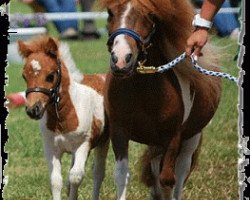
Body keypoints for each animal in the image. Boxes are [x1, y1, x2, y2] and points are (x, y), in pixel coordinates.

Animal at [18, 36, 110, 200]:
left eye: (50, 76)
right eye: (24, 76)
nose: (33, 110)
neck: (63, 117)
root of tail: (102, 77)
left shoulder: (83, 144)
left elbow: (75, 177)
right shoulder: (51, 148)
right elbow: (56, 181)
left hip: (103, 142)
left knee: (98, 173)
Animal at [100, 0, 222, 199]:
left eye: (150, 15)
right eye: (110, 12)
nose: (121, 59)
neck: (142, 91)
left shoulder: (172, 137)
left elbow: (168, 179)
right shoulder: (119, 131)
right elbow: (121, 175)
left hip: (191, 138)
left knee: (180, 173)